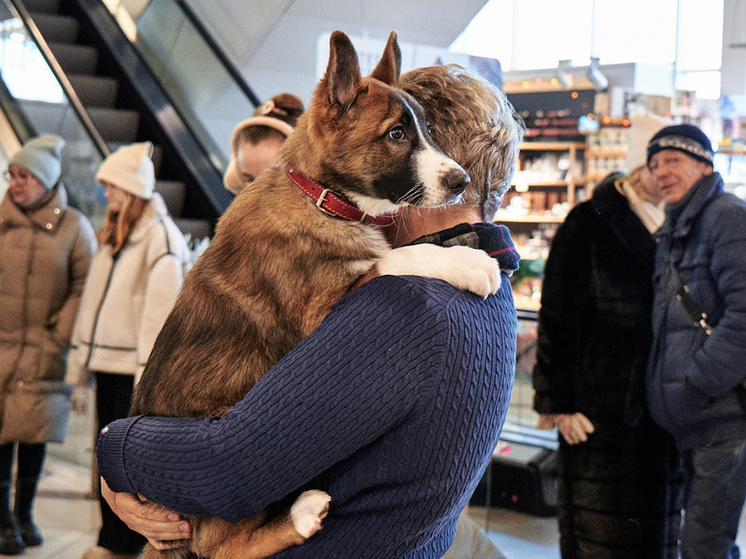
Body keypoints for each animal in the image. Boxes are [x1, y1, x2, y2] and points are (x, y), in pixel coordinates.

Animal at [129, 30, 500, 559]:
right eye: (396, 135)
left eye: (427, 131)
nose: (461, 181)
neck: (322, 198)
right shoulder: (321, 307)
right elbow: (398, 258)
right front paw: (468, 262)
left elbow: (393, 252)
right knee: (227, 546)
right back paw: (302, 515)